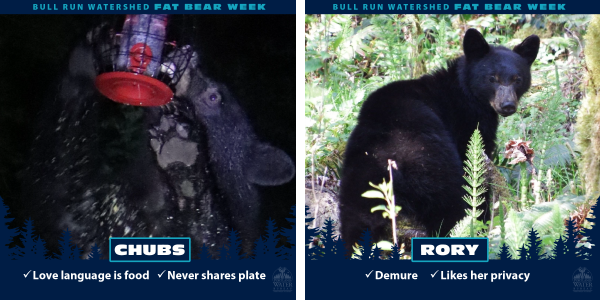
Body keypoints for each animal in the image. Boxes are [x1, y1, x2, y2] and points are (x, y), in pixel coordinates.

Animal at [340, 28, 540, 248]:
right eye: (492, 78)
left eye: (517, 79)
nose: (507, 105)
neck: (463, 92)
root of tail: (390, 157)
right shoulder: (466, 127)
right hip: (434, 167)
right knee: (452, 208)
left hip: (361, 179)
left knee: (356, 223)